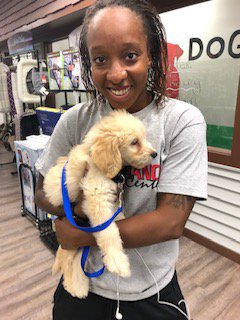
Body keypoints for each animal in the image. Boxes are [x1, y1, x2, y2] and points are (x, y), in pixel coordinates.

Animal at [43, 109, 158, 298]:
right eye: (134, 142)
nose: (154, 154)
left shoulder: (112, 200)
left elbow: (117, 218)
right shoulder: (96, 198)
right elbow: (108, 231)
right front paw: (117, 261)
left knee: (76, 259)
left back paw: (79, 286)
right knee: (67, 263)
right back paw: (75, 287)